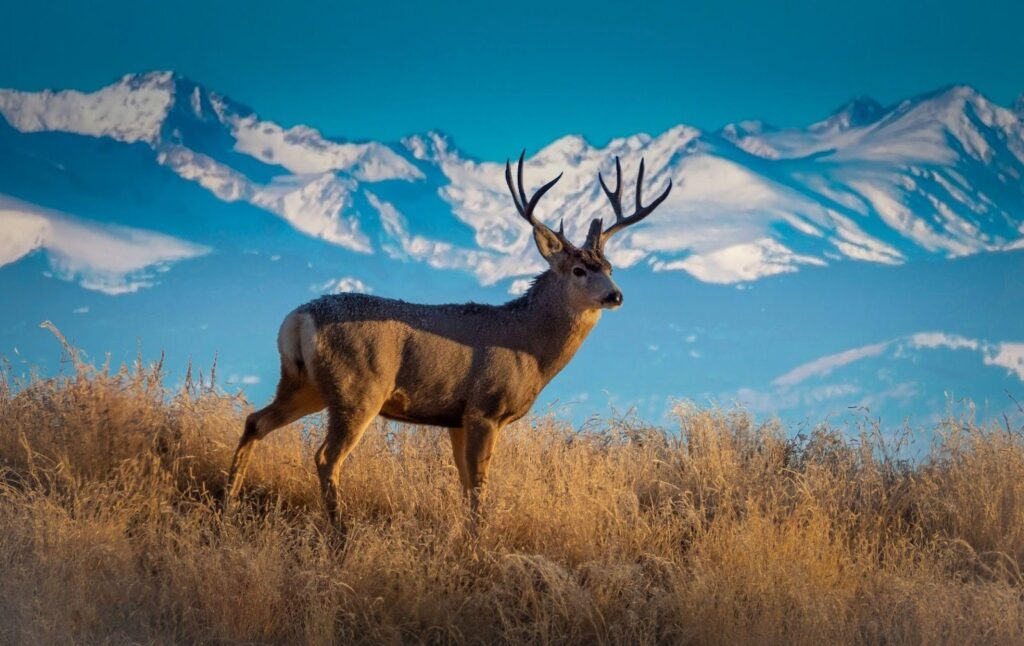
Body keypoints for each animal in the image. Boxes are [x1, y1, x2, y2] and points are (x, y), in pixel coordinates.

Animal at [223, 151, 672, 525]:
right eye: (579, 270)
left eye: (610, 267)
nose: (616, 296)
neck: (529, 347)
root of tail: (298, 319)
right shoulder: (485, 408)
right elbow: (479, 487)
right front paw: (478, 542)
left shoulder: (457, 418)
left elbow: (464, 483)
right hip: (358, 388)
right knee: (325, 456)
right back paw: (340, 532)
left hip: (304, 383)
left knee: (255, 421)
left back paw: (229, 505)